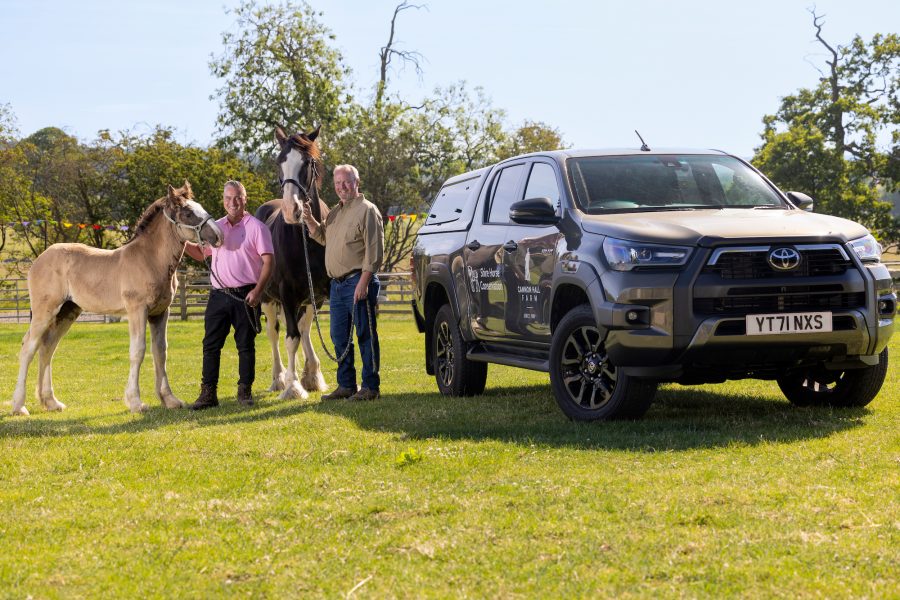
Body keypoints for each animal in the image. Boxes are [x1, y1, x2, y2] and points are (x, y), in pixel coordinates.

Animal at [11, 183, 223, 414]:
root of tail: (39, 259)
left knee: (47, 348)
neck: (149, 260)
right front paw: (136, 402)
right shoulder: (137, 310)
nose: (218, 235)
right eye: (188, 213)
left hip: (67, 312)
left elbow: (161, 352)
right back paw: (19, 406)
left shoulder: (160, 313)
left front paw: (170, 399)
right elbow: (138, 351)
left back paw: (51, 402)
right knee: (28, 347)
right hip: (45, 311)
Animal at [255, 126, 332, 398]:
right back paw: (279, 378)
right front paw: (293, 386)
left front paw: (311, 376)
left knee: (304, 327)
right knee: (274, 333)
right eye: (280, 162)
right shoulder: (286, 294)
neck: (304, 239)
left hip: (308, 299)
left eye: (308, 162)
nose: (292, 210)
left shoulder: (322, 293)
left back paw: (312, 373)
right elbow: (291, 339)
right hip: (267, 298)